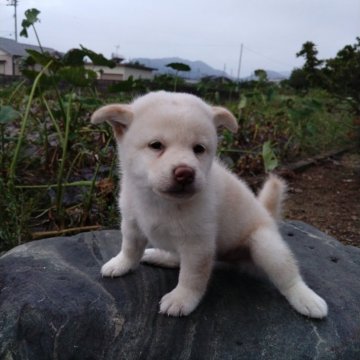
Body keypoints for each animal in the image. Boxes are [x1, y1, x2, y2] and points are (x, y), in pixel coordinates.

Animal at [91, 92, 328, 318]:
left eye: (199, 148)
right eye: (156, 145)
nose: (185, 173)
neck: (160, 201)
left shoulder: (198, 244)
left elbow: (192, 276)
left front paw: (182, 298)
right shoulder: (132, 224)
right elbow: (130, 248)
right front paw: (121, 264)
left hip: (266, 245)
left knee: (288, 276)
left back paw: (306, 298)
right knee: (176, 258)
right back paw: (160, 256)